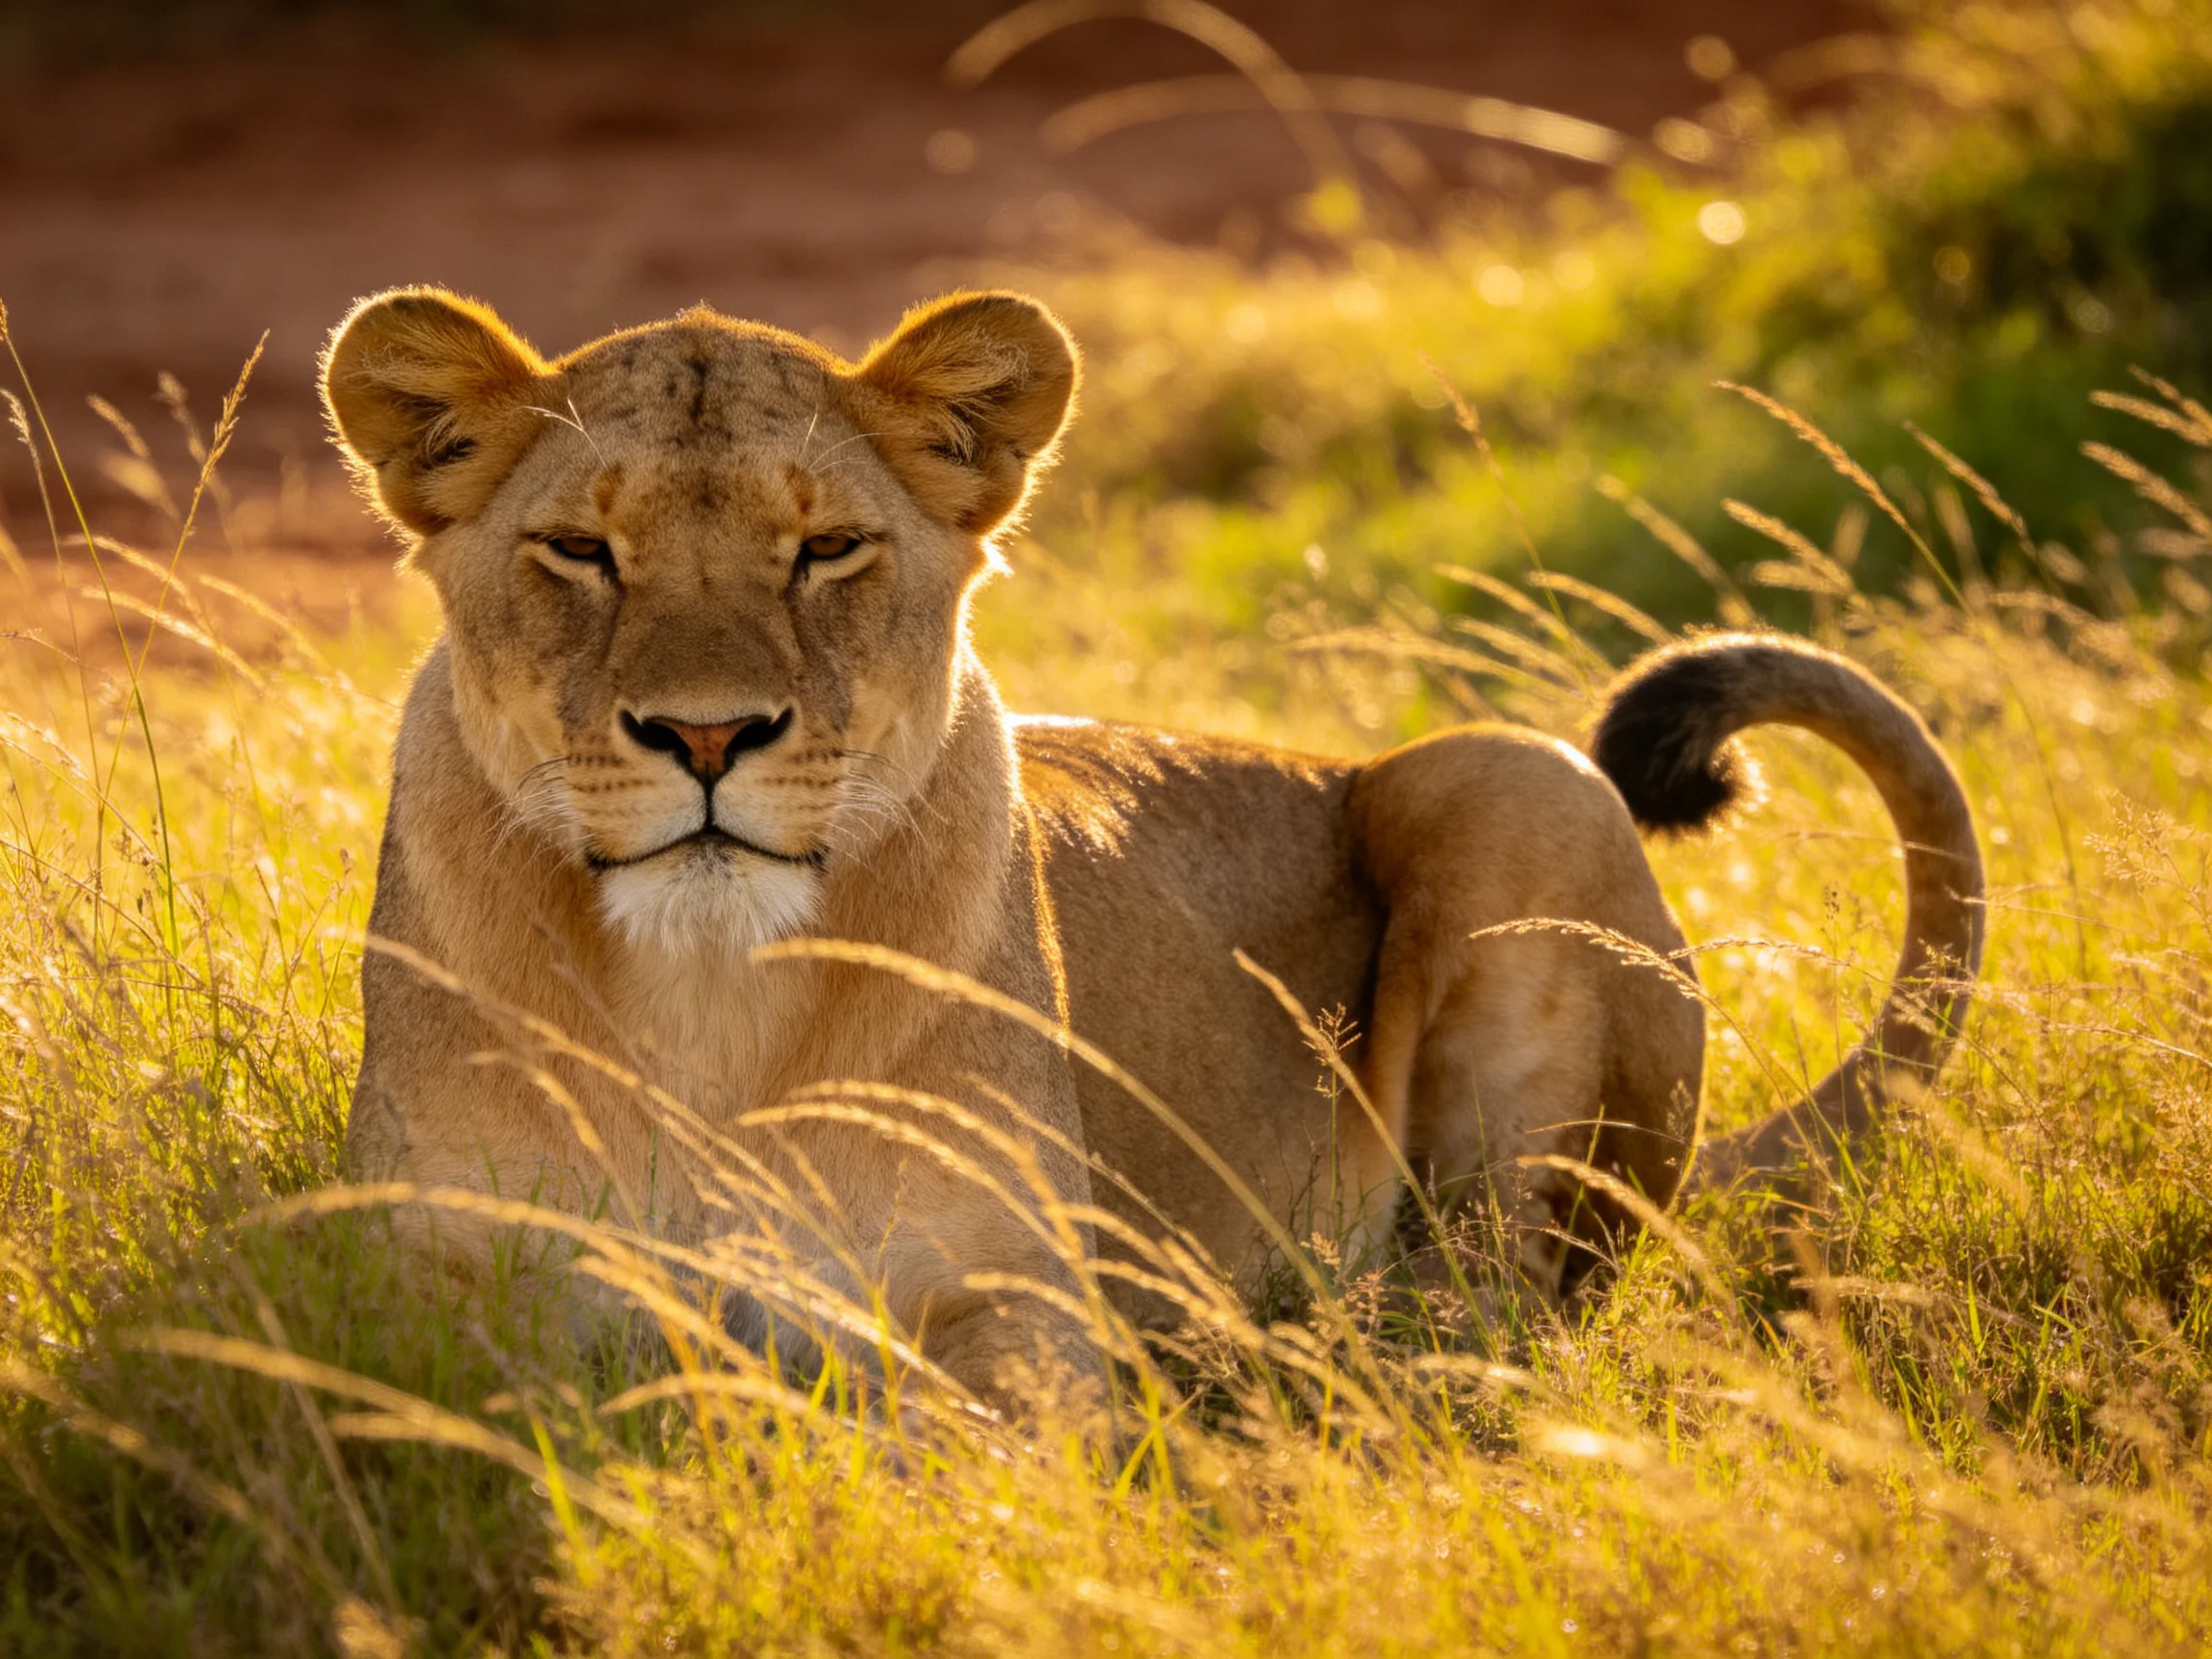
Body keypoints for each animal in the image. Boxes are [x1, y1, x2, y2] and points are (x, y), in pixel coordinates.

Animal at [322, 285, 1983, 1410]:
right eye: (579, 549)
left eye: (828, 549)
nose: (711, 735)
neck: (706, 1001)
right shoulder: (408, 1280)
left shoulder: (1018, 1292)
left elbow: (958, 1439)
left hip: (1513, 781)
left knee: (1501, 1307)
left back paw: (1300, 1351)